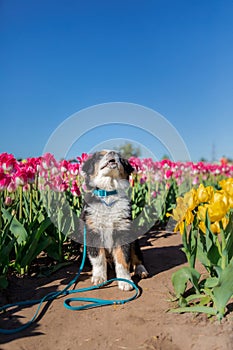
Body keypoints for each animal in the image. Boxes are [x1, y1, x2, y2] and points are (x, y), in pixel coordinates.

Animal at [81, 150, 148, 290]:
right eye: (100, 155)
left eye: (120, 157)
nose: (112, 153)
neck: (108, 193)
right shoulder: (93, 230)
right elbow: (98, 259)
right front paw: (99, 278)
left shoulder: (123, 229)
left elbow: (123, 259)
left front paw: (125, 281)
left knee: (137, 257)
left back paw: (141, 270)